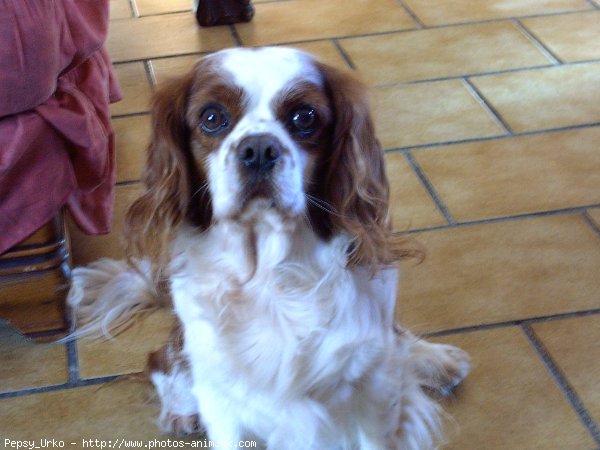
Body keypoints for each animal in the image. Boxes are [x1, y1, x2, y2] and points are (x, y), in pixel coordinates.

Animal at [70, 47, 472, 448]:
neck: (271, 276)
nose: (259, 149)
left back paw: (436, 360)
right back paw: (179, 411)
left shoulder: (374, 391)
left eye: (305, 116)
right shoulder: (224, 402)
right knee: (161, 361)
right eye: (212, 117)